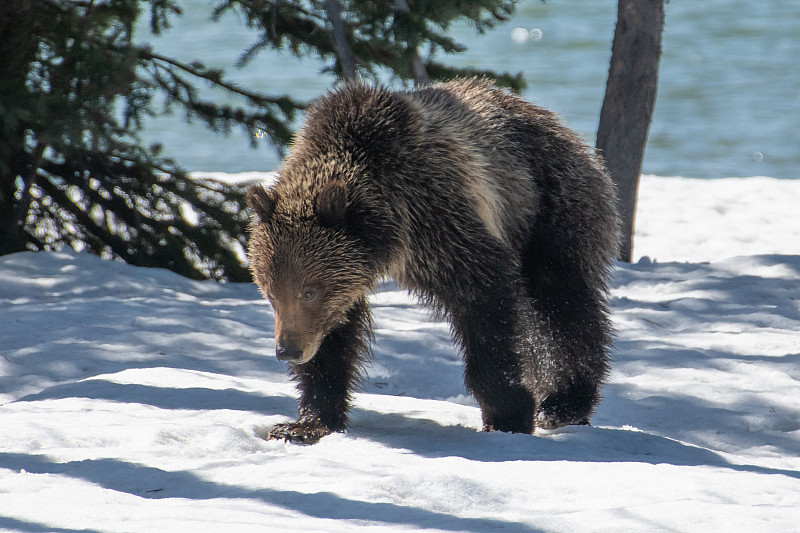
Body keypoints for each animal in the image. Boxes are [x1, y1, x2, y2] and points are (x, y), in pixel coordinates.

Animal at [247, 78, 620, 444]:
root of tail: (554, 121)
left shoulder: (436, 217)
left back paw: (564, 403)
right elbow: (334, 342)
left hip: (547, 205)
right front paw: (304, 424)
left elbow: (485, 296)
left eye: (309, 291)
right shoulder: (348, 279)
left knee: (563, 301)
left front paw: (507, 414)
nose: (287, 350)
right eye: (271, 293)